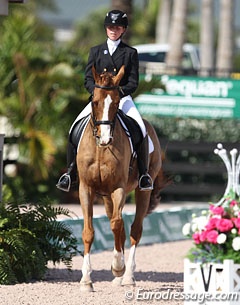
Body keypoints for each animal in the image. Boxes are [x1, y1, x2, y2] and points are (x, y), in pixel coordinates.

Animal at [78, 66, 164, 290]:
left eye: (116, 104)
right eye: (95, 102)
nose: (105, 139)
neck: (100, 150)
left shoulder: (119, 188)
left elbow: (117, 224)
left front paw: (117, 266)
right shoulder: (86, 188)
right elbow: (89, 231)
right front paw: (86, 280)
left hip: (142, 190)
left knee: (134, 229)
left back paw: (127, 276)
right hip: (107, 196)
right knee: (120, 226)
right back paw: (119, 277)